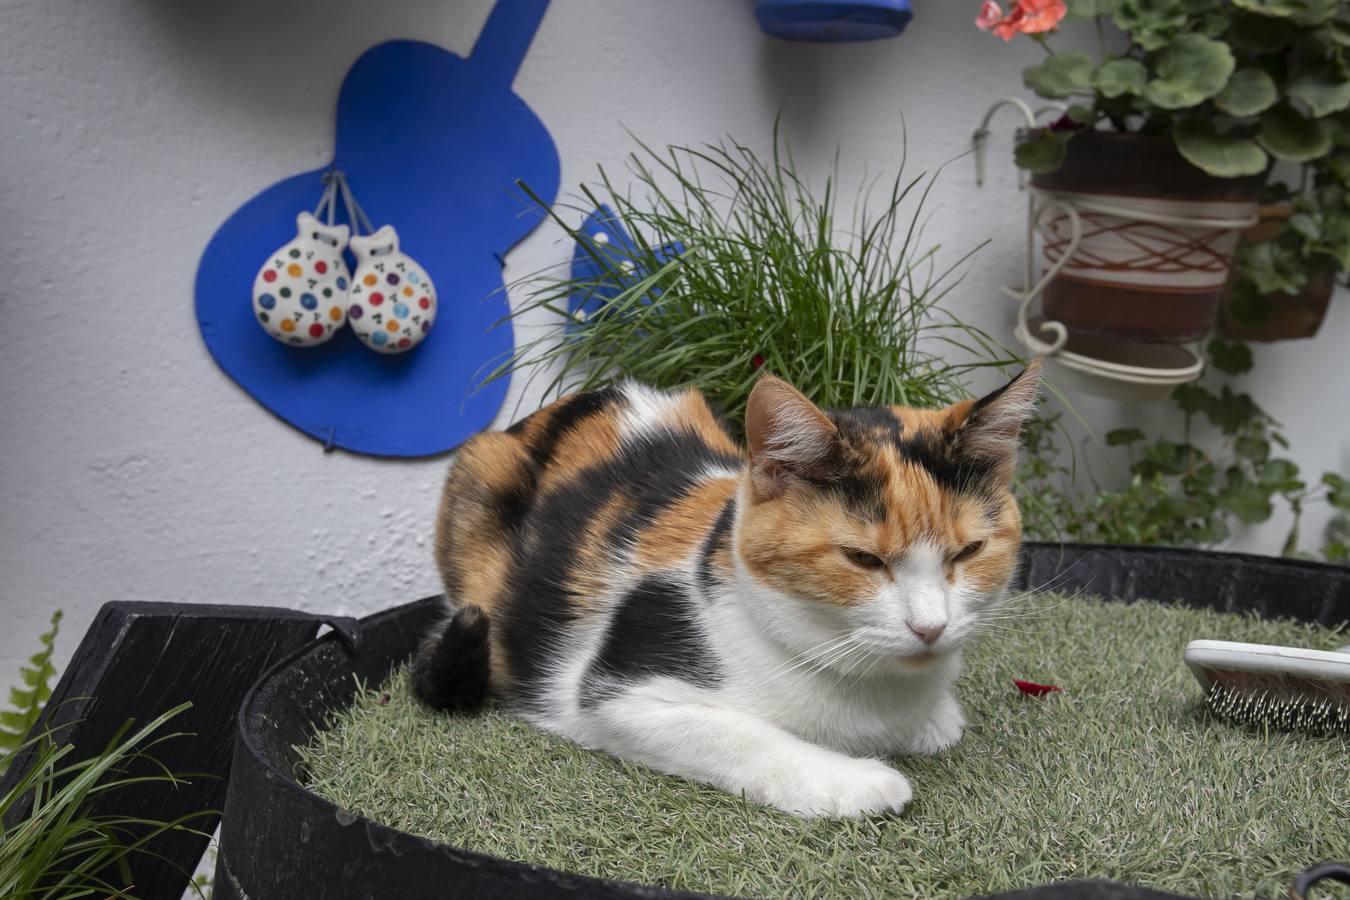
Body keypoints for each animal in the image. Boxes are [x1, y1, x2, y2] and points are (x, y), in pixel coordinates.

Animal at [410, 361, 1042, 820]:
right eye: (864, 559)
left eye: (969, 552)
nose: (930, 627)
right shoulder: (617, 693)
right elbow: (747, 739)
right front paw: (859, 781)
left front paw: (933, 720)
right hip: (478, 481)